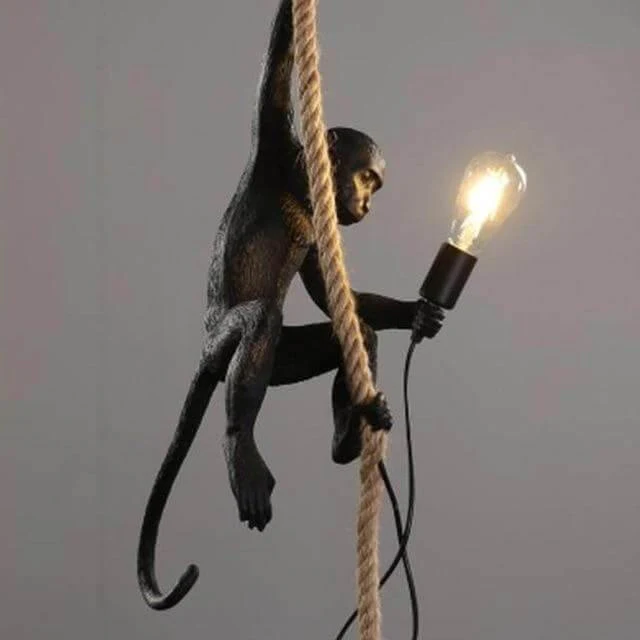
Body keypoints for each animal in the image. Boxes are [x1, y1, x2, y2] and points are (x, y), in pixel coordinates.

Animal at [137, 0, 441, 611]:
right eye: (367, 177)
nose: (367, 204)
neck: (302, 186)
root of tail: (206, 359)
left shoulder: (320, 233)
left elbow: (340, 299)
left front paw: (416, 312)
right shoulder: (275, 144)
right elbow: (273, 78)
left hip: (284, 361)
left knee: (353, 334)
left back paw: (351, 436)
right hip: (224, 344)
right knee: (260, 320)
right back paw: (241, 452)